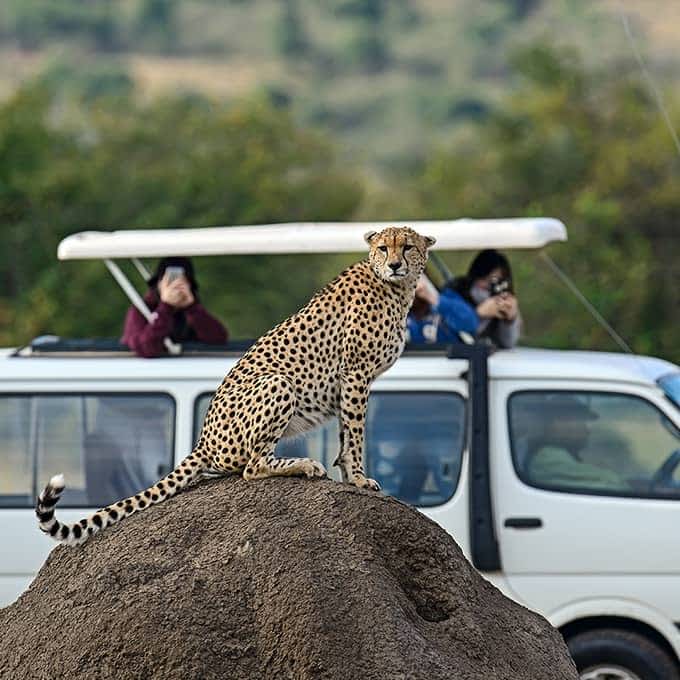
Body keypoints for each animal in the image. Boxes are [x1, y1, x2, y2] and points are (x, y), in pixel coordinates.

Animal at [35, 226, 436, 544]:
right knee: (250, 467)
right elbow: (355, 436)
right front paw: (359, 480)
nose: (395, 264)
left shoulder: (347, 382)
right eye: (383, 248)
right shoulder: (354, 374)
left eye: (407, 247)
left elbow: (345, 436)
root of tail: (203, 439)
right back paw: (304, 465)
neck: (394, 287)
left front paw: (349, 478)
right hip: (278, 383)